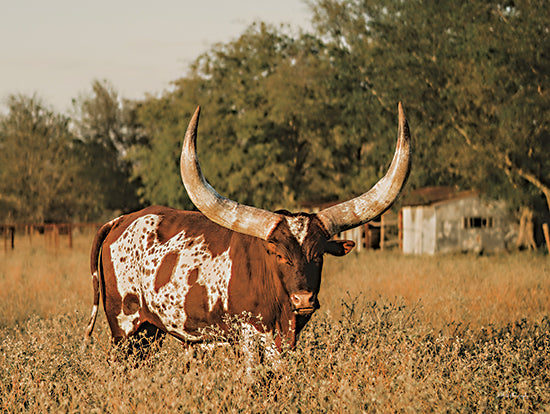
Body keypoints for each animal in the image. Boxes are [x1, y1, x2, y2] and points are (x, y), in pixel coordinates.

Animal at [82, 104, 410, 362]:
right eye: (278, 254)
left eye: (318, 254)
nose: (303, 298)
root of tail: (119, 220)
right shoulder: (250, 335)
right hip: (124, 326)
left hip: (149, 331)